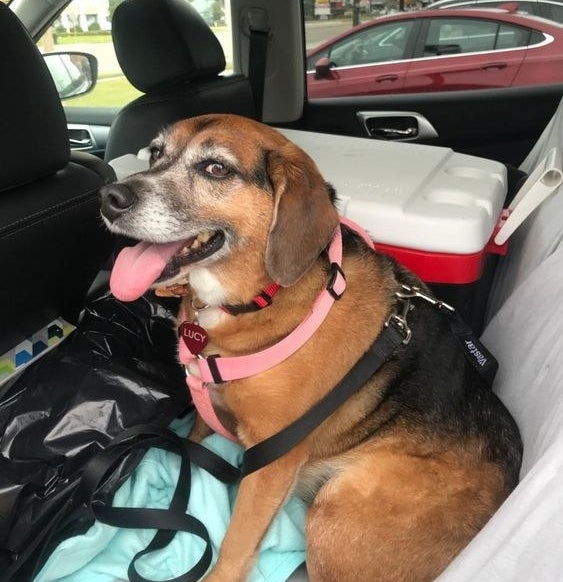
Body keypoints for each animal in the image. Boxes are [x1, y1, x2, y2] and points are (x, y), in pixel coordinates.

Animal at [99, 115, 524, 582]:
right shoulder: (209, 410)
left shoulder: (271, 461)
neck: (256, 300)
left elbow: (236, 544)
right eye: (155, 153)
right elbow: (195, 440)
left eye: (216, 168)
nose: (109, 197)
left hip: (334, 514)